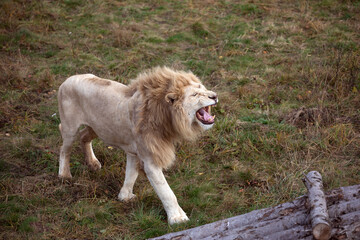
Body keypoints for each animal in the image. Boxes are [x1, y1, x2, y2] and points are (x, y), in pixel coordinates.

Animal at [57, 66, 218, 225]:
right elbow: (166, 192)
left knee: (83, 137)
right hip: (70, 128)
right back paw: (64, 175)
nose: (215, 96)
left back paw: (92, 163)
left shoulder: (134, 152)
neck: (166, 118)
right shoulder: (151, 160)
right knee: (64, 149)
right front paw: (177, 218)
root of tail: (67, 80)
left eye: (203, 88)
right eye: (195, 94)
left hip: (96, 128)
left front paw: (125, 196)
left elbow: (131, 173)